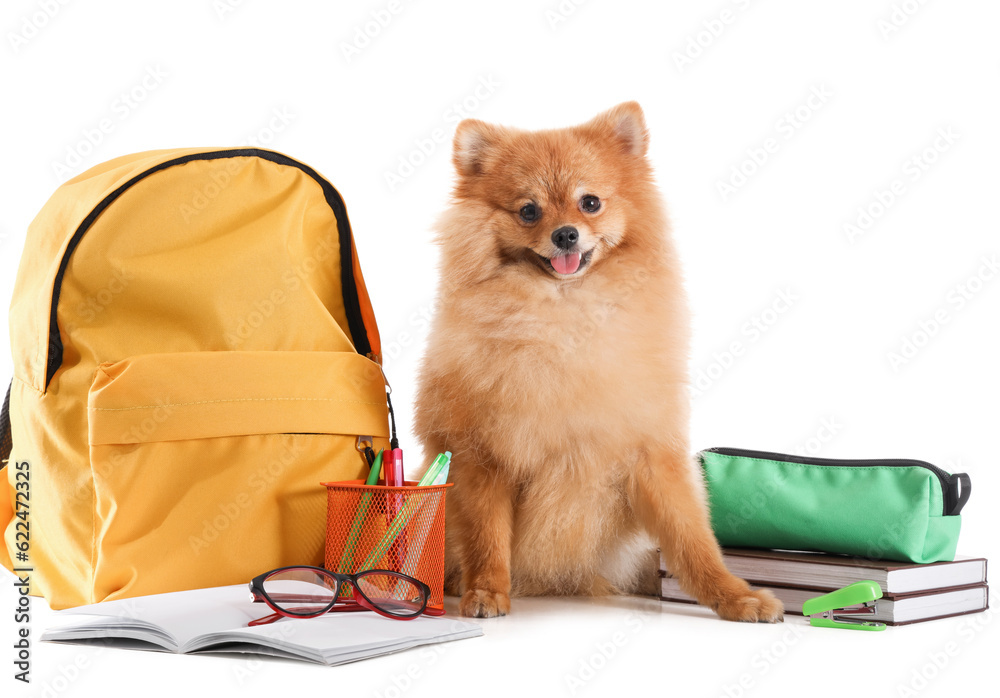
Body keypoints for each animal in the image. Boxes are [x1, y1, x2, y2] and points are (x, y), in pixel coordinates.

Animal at [412, 102, 780, 620]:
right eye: (529, 210)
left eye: (590, 203)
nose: (565, 234)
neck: (569, 316)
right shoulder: (481, 455)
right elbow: (487, 537)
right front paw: (486, 591)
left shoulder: (652, 452)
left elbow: (691, 538)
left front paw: (733, 595)